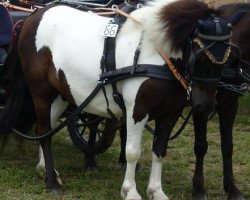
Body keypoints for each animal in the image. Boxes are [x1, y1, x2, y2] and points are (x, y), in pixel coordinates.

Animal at [0, 0, 246, 199]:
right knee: (43, 130)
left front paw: (156, 191)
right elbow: (132, 152)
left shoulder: (170, 113)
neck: (154, 55)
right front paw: (130, 192)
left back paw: (44, 169)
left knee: (46, 129)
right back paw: (52, 180)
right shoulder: (138, 110)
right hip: (40, 92)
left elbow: (160, 150)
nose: (206, 106)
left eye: (229, 58)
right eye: (198, 55)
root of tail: (35, 14)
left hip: (61, 93)